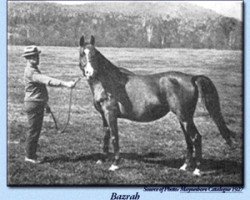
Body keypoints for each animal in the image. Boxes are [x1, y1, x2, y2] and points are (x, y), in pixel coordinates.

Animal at [78, 35, 234, 176]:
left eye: (95, 54)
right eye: (82, 53)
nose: (90, 72)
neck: (108, 82)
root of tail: (191, 78)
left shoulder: (111, 114)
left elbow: (114, 137)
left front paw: (114, 165)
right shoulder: (103, 115)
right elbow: (106, 134)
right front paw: (102, 159)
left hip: (184, 117)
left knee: (196, 137)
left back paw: (197, 170)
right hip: (184, 118)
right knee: (188, 139)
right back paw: (184, 167)